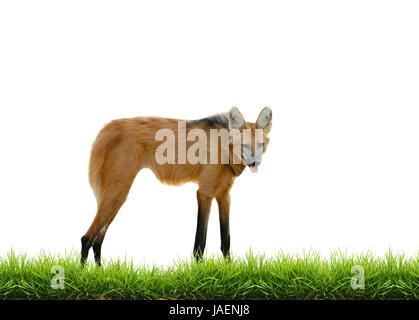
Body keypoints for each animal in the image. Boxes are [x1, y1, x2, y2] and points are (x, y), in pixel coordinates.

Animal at [81, 106, 272, 266]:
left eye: (261, 145)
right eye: (244, 145)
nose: (255, 162)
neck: (225, 147)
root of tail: (108, 127)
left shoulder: (224, 195)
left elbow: (226, 240)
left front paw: (229, 270)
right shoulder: (204, 192)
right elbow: (200, 242)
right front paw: (199, 274)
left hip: (116, 195)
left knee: (98, 240)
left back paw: (102, 275)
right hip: (117, 192)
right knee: (87, 238)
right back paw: (85, 278)